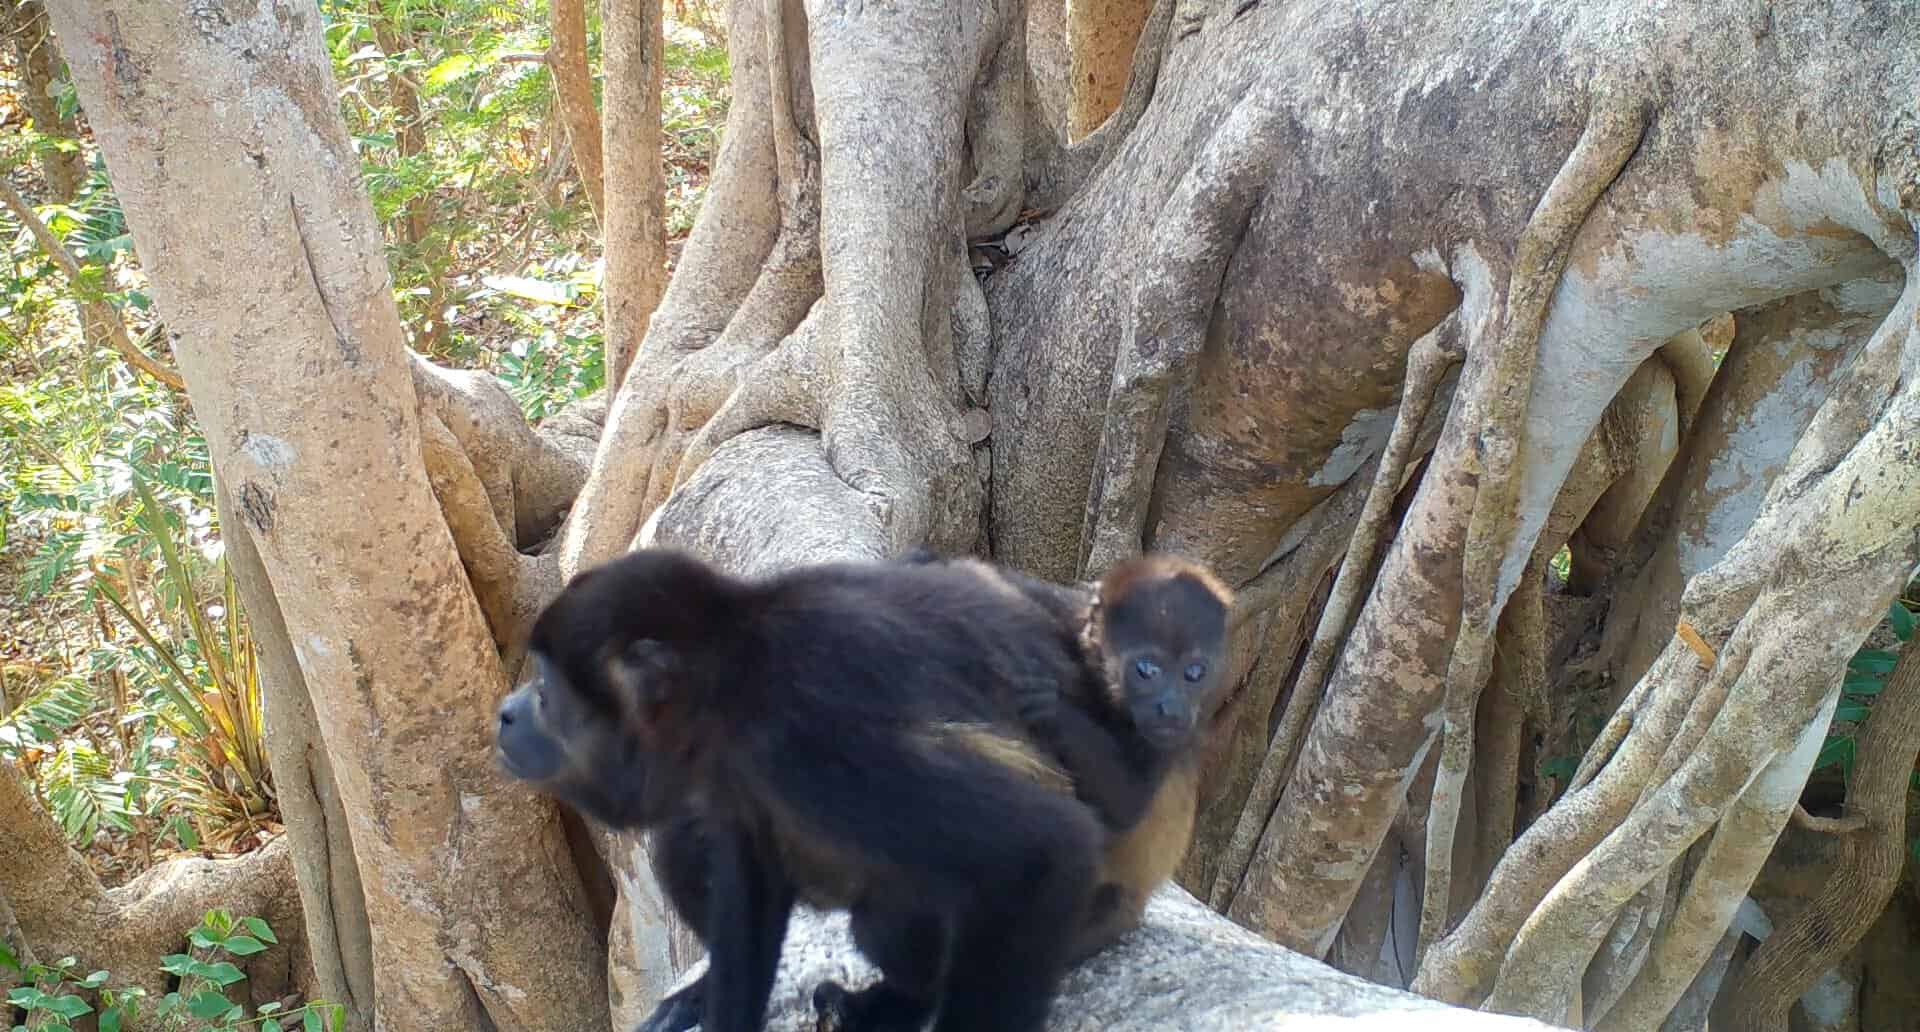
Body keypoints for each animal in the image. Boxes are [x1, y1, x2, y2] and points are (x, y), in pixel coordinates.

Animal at [495, 548, 1105, 1028]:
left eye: (545, 689)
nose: (506, 711)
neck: (732, 678)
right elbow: (748, 880)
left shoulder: (805, 738)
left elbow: (1040, 851)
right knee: (684, 848)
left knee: (892, 911)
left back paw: (897, 1005)